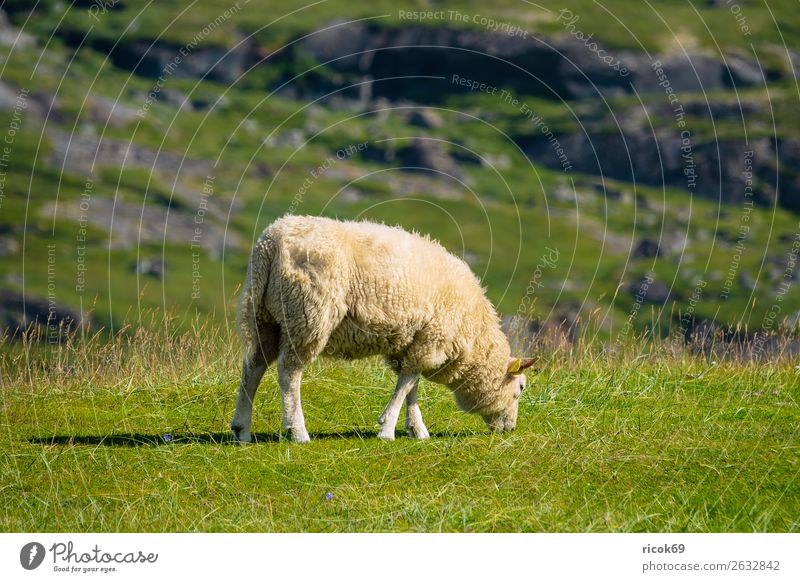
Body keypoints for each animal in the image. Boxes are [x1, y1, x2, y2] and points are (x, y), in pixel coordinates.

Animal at [228, 217, 536, 444]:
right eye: (520, 388)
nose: (510, 429)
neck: (474, 339)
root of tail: (272, 241)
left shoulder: (413, 343)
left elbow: (411, 384)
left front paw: (416, 429)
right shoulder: (431, 339)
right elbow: (406, 384)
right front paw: (387, 428)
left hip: (264, 317)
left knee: (253, 367)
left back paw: (242, 430)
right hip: (307, 315)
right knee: (289, 373)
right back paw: (297, 431)